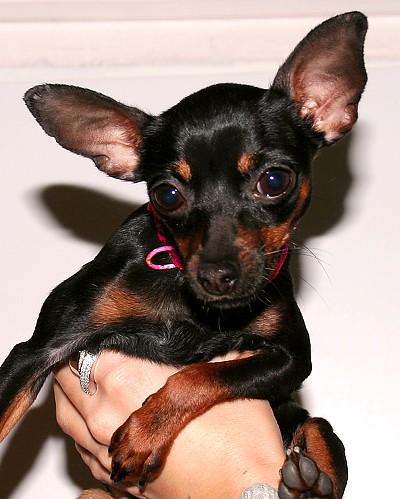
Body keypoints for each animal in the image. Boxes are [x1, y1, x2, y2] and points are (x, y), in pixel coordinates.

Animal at [0, 11, 367, 499]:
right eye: (167, 195)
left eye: (274, 181)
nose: (216, 275)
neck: (188, 305)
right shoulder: (38, 350)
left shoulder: (290, 358)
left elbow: (198, 375)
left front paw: (143, 432)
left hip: (306, 419)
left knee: (317, 430)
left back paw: (309, 483)